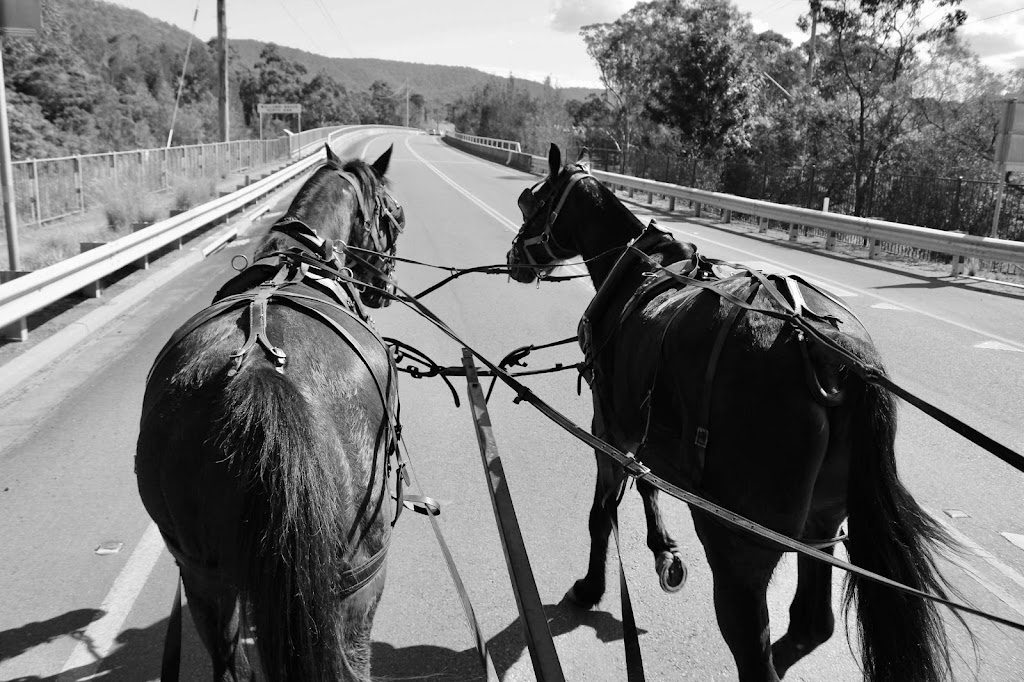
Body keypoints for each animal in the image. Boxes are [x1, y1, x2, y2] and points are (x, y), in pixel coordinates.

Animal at [137, 143, 407, 679]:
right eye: (395, 215)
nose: (384, 287)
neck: (302, 257)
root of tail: (260, 376)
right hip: (359, 579)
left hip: (203, 574)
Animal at [507, 144, 962, 679]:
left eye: (532, 200)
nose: (513, 257)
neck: (639, 267)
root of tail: (834, 358)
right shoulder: (645, 429)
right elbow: (645, 480)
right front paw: (663, 548)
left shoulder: (610, 428)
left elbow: (603, 512)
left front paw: (592, 586)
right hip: (823, 520)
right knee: (811, 624)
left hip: (736, 550)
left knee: (754, 648)